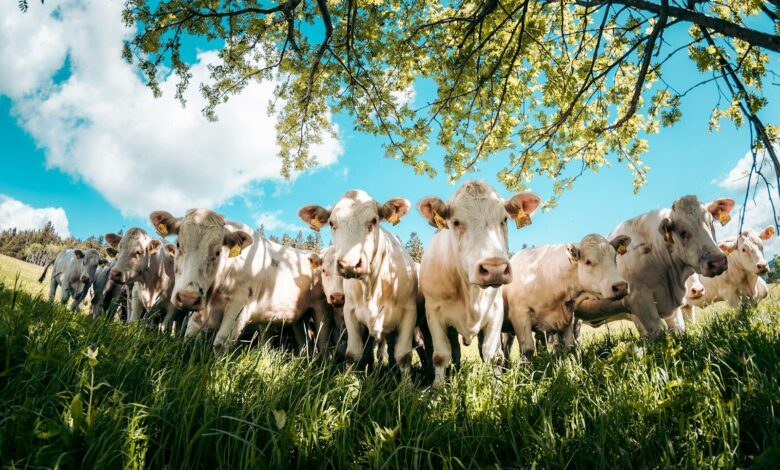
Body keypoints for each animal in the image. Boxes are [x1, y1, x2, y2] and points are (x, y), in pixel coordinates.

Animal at [149, 209, 332, 356]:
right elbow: (190, 334)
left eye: (218, 252)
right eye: (178, 244)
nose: (188, 298)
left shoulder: (239, 307)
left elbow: (220, 343)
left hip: (321, 309)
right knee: (304, 342)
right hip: (298, 317)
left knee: (323, 342)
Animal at [298, 190, 418, 375]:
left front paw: (407, 383)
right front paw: (347, 380)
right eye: (332, 223)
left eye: (374, 220)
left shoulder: (409, 312)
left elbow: (403, 356)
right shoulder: (350, 312)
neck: (372, 288)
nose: (349, 264)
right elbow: (352, 354)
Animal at [417, 180, 541, 387]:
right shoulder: (433, 312)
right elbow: (441, 355)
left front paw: (497, 385)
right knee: (455, 350)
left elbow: (493, 355)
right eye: (456, 222)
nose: (495, 268)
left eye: (504, 219)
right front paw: (438, 387)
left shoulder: (496, 310)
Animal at [573, 195, 735, 337]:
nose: (718, 261)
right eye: (682, 232)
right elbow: (656, 333)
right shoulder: (639, 301)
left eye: (711, 222)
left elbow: (679, 328)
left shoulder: (673, 307)